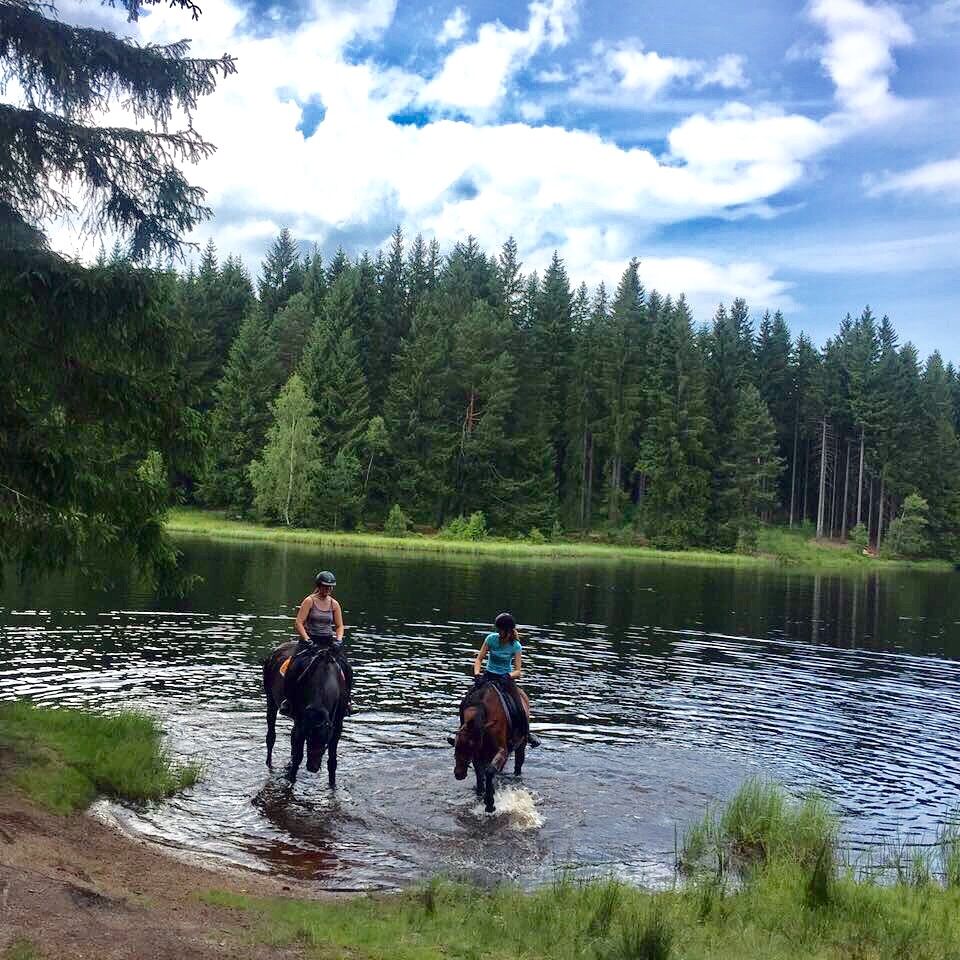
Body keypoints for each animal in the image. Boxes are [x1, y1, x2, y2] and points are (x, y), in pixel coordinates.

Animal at [263, 640, 346, 786]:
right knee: (271, 736)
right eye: (309, 738)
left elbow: (332, 761)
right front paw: (290, 781)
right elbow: (298, 756)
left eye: (325, 742)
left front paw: (332, 785)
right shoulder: (301, 724)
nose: (312, 767)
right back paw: (269, 764)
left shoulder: (337, 725)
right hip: (270, 700)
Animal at [449, 682, 529, 813]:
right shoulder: (478, 754)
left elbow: (490, 771)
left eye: (471, 745)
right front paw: (480, 793)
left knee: (518, 763)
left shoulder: (502, 751)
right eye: (456, 745)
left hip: (521, 745)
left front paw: (490, 804)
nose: (458, 773)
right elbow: (480, 772)